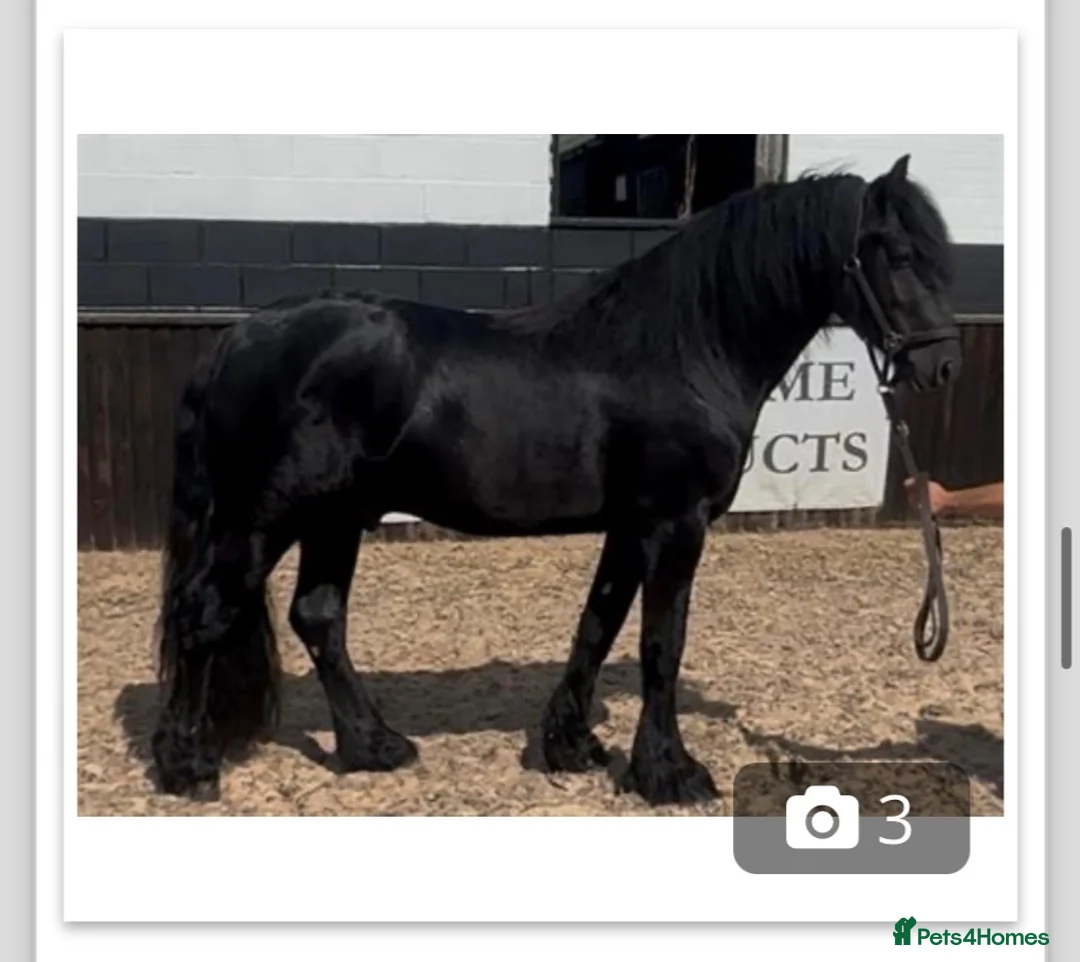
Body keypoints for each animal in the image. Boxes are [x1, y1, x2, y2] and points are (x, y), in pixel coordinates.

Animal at [150, 154, 961, 807]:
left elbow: (598, 624)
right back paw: (188, 766)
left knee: (317, 618)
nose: (941, 365)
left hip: (333, 518)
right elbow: (661, 643)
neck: (683, 350)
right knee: (206, 614)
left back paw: (373, 746)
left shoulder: (632, 525)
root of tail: (238, 337)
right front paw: (668, 772)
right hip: (264, 519)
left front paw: (571, 745)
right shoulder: (676, 524)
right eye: (893, 252)